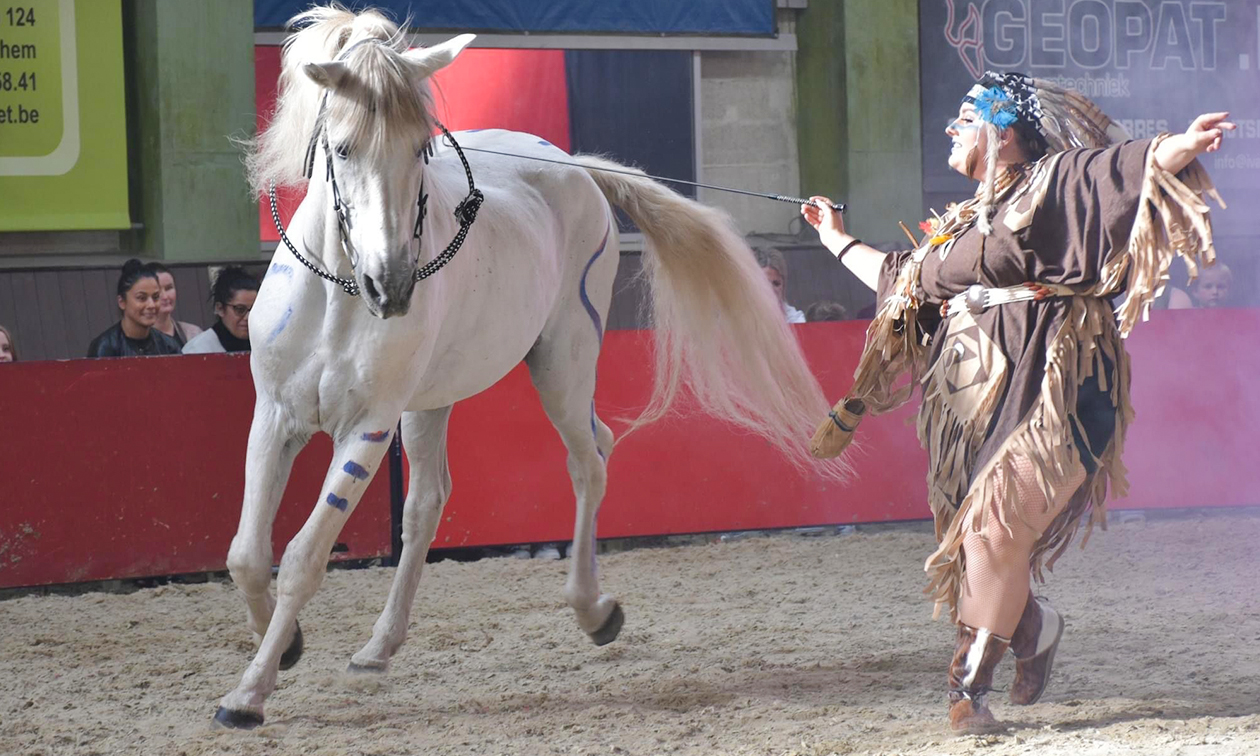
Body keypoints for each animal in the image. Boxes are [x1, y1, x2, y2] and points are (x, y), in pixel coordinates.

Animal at [214, 5, 848, 728]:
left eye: (421, 149)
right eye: (342, 148)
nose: (392, 287)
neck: (338, 295)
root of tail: (572, 167)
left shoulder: (367, 428)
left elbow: (302, 557)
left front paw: (248, 694)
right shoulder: (276, 416)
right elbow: (246, 554)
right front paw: (286, 647)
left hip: (562, 363)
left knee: (589, 460)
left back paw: (594, 611)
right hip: (431, 400)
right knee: (428, 504)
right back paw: (379, 647)